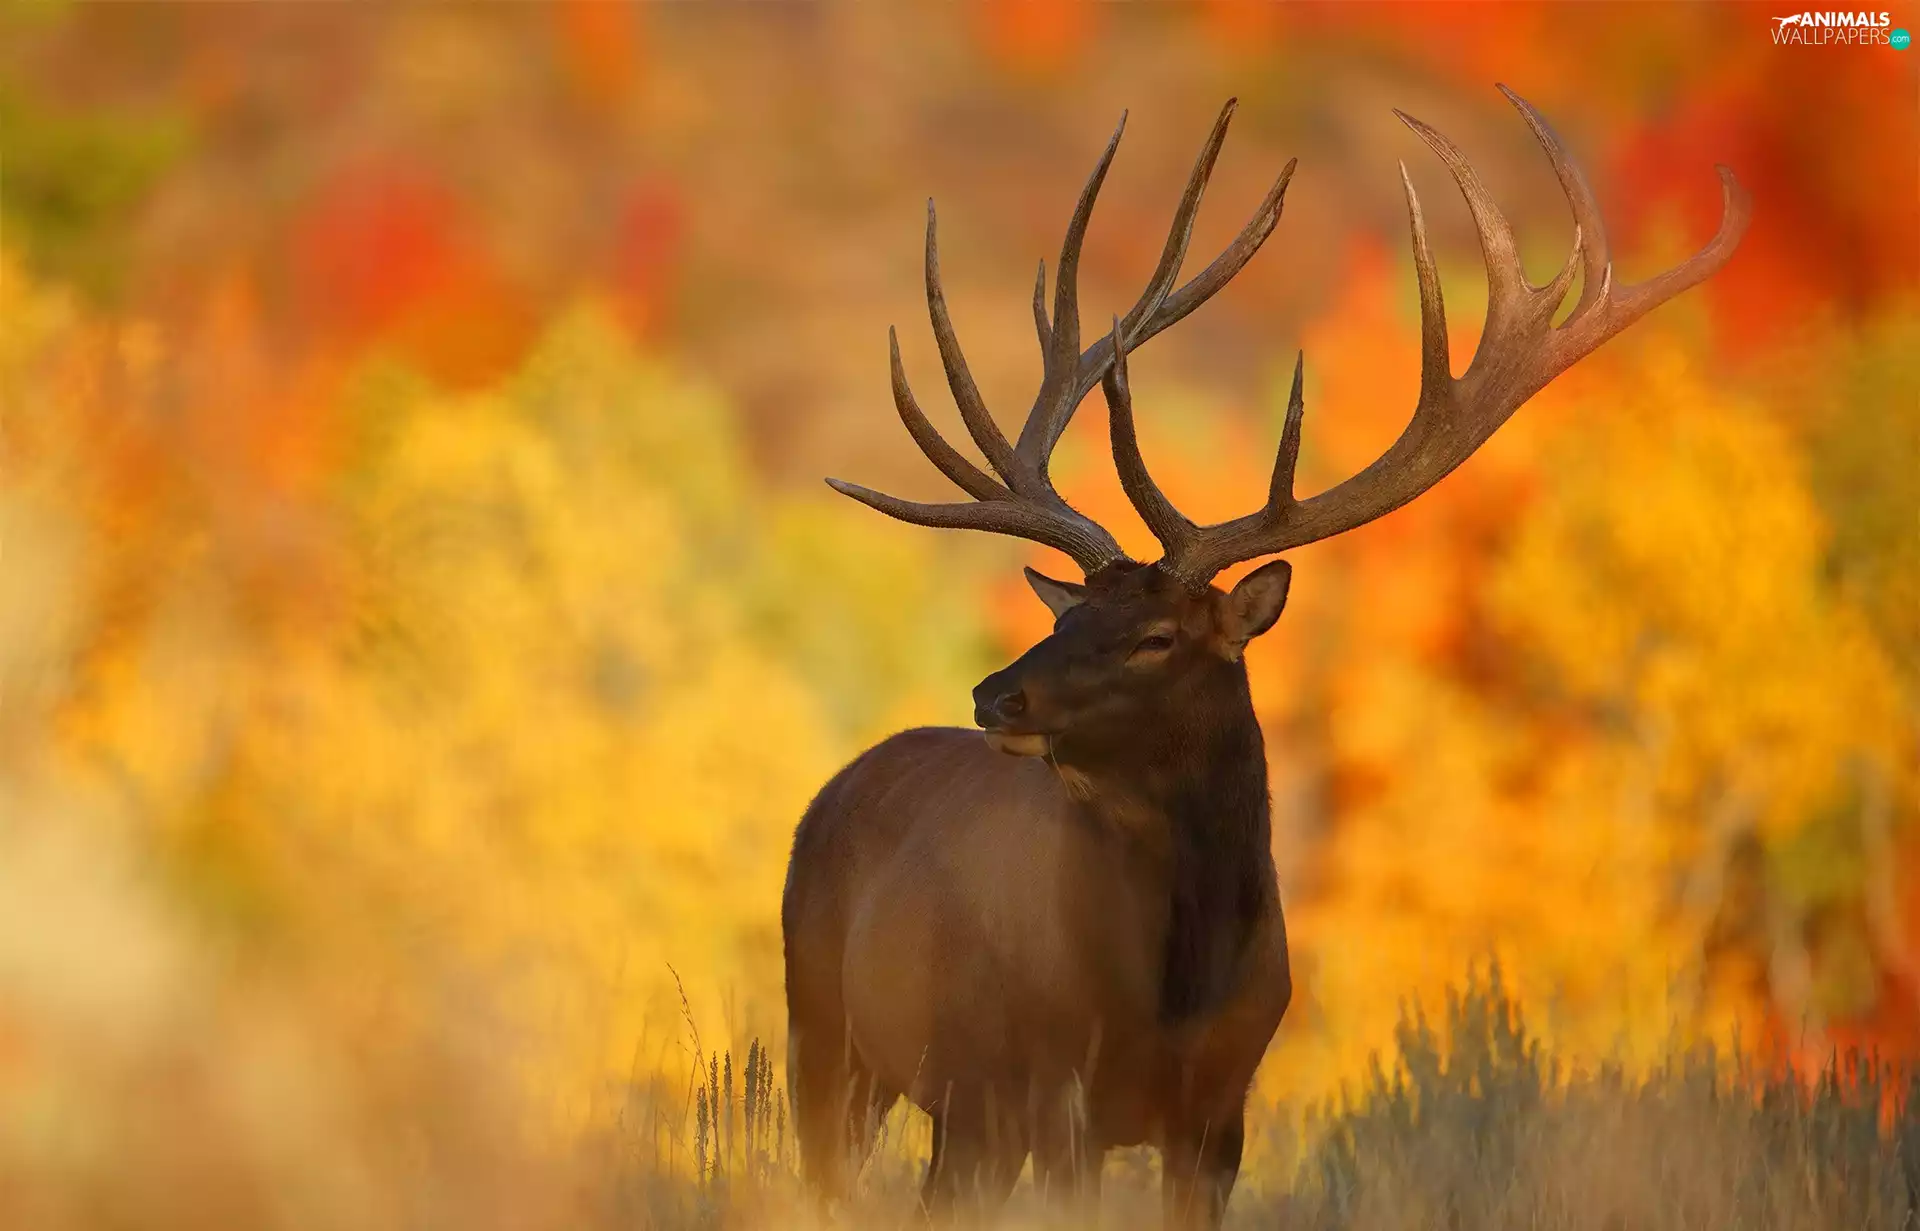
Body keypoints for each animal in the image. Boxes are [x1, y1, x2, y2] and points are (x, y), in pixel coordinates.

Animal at [782, 86, 1748, 1226]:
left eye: (1156, 637)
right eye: (1066, 619)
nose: (995, 695)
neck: (1174, 989)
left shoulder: (1219, 1112)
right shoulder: (1057, 1089)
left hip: (956, 1108)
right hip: (831, 1040)